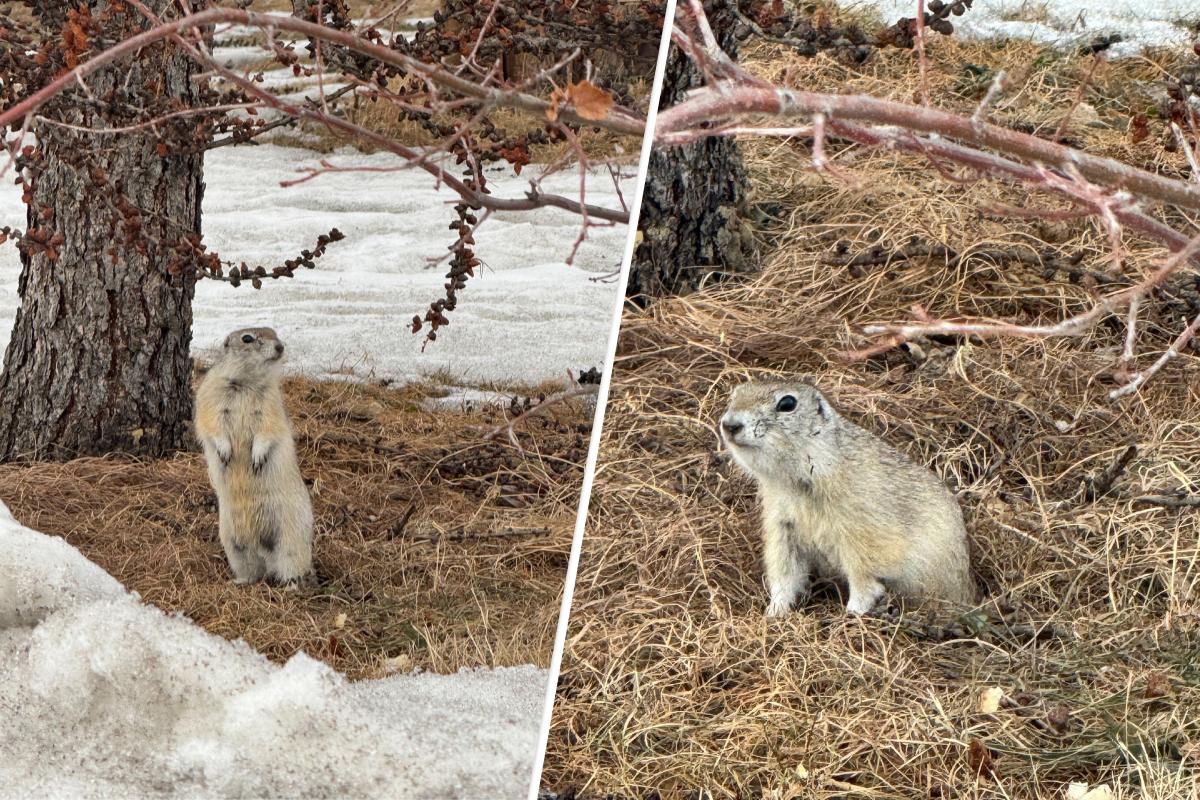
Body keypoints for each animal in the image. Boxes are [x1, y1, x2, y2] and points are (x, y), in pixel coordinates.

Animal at [193, 328, 314, 585]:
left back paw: (291, 585)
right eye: (247, 338)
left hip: (292, 540)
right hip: (233, 544)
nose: (280, 347)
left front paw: (256, 457)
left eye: (275, 332)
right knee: (254, 571)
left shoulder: (271, 403)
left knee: (290, 566)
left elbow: (268, 429)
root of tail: (264, 549)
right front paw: (225, 452)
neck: (246, 382)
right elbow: (211, 423)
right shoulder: (210, 394)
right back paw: (239, 581)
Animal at [715, 379, 969, 618]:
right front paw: (773, 612)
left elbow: (863, 576)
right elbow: (785, 572)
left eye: (787, 403)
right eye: (734, 395)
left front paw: (853, 611)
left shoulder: (860, 529)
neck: (797, 481)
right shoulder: (782, 525)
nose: (729, 425)